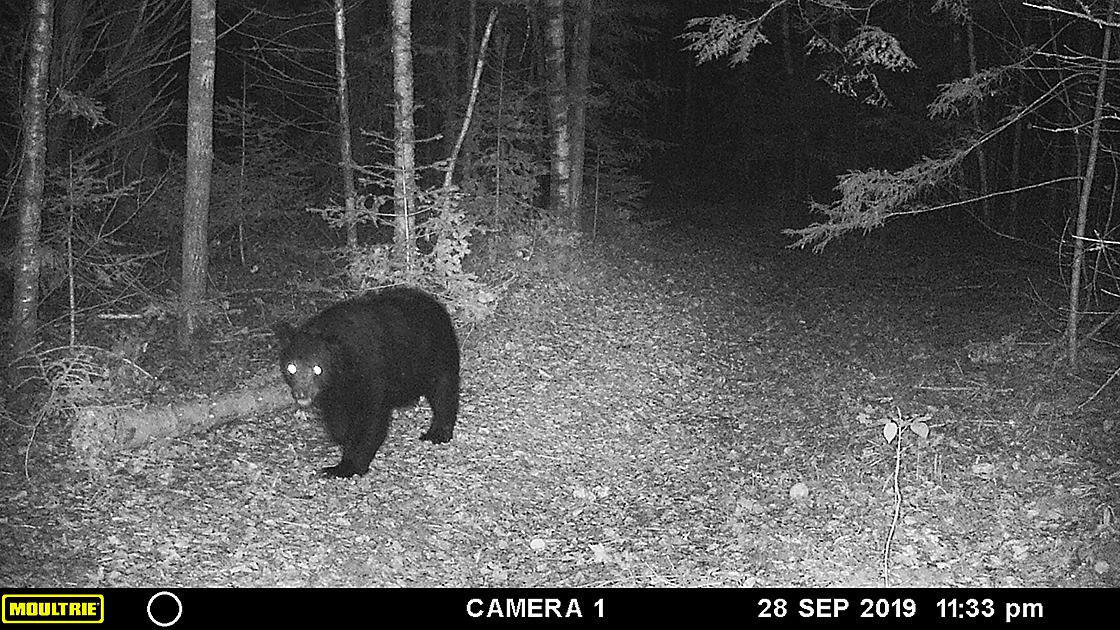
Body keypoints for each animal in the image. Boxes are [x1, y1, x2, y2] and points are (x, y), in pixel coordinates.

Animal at [273, 285, 461, 475]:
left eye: (318, 369)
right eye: (291, 367)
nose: (301, 393)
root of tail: (433, 301)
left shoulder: (372, 372)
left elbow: (369, 419)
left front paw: (346, 466)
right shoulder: (334, 391)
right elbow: (337, 417)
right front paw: (342, 436)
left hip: (436, 356)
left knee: (444, 392)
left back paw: (437, 433)